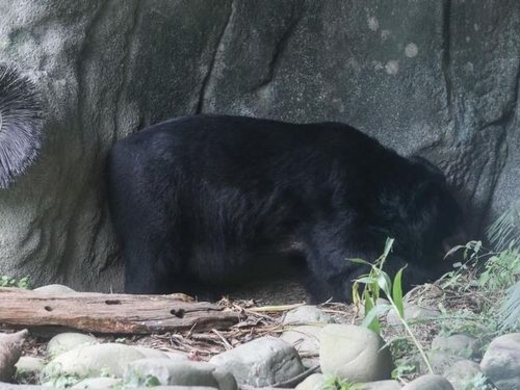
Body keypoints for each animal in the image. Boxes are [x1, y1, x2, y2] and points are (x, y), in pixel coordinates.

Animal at [106, 114, 464, 304]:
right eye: (447, 221)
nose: (457, 239)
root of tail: (115, 154)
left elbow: (325, 270)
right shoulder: (335, 195)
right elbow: (350, 262)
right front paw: (436, 269)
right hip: (155, 196)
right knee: (152, 262)